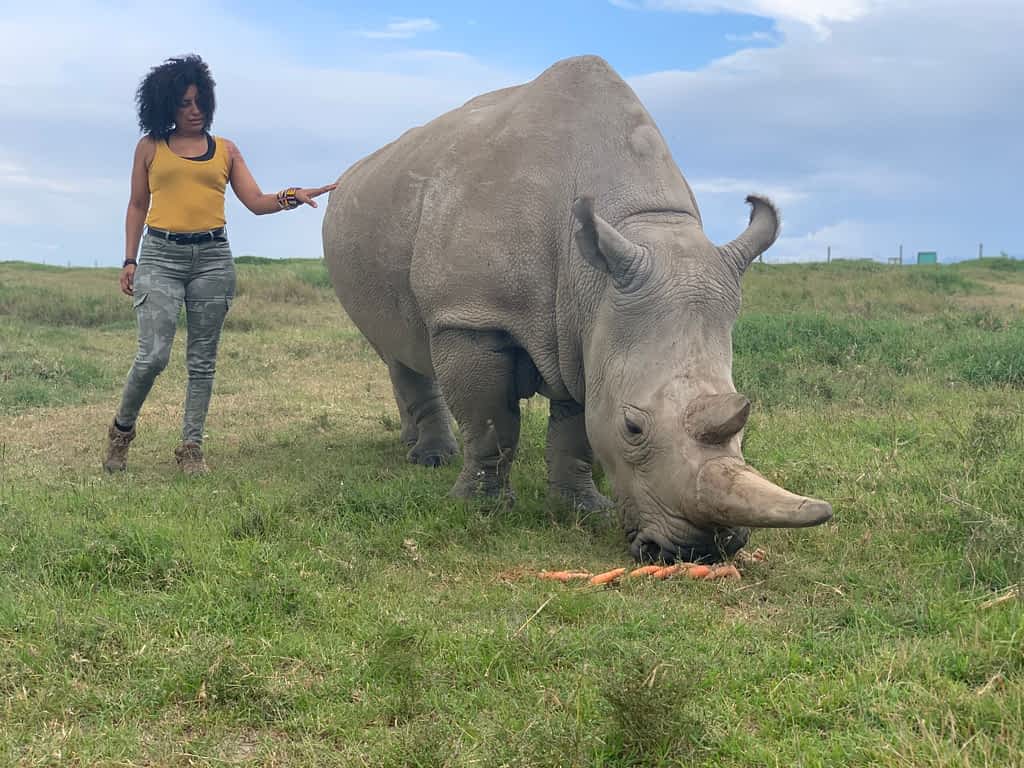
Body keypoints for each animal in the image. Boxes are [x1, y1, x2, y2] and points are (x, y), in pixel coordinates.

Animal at [319, 52, 831, 561]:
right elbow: (490, 421)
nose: (700, 553)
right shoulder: (473, 314)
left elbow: (577, 428)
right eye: (632, 428)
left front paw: (582, 509)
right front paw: (479, 508)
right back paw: (429, 460)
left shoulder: (589, 326)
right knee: (397, 350)